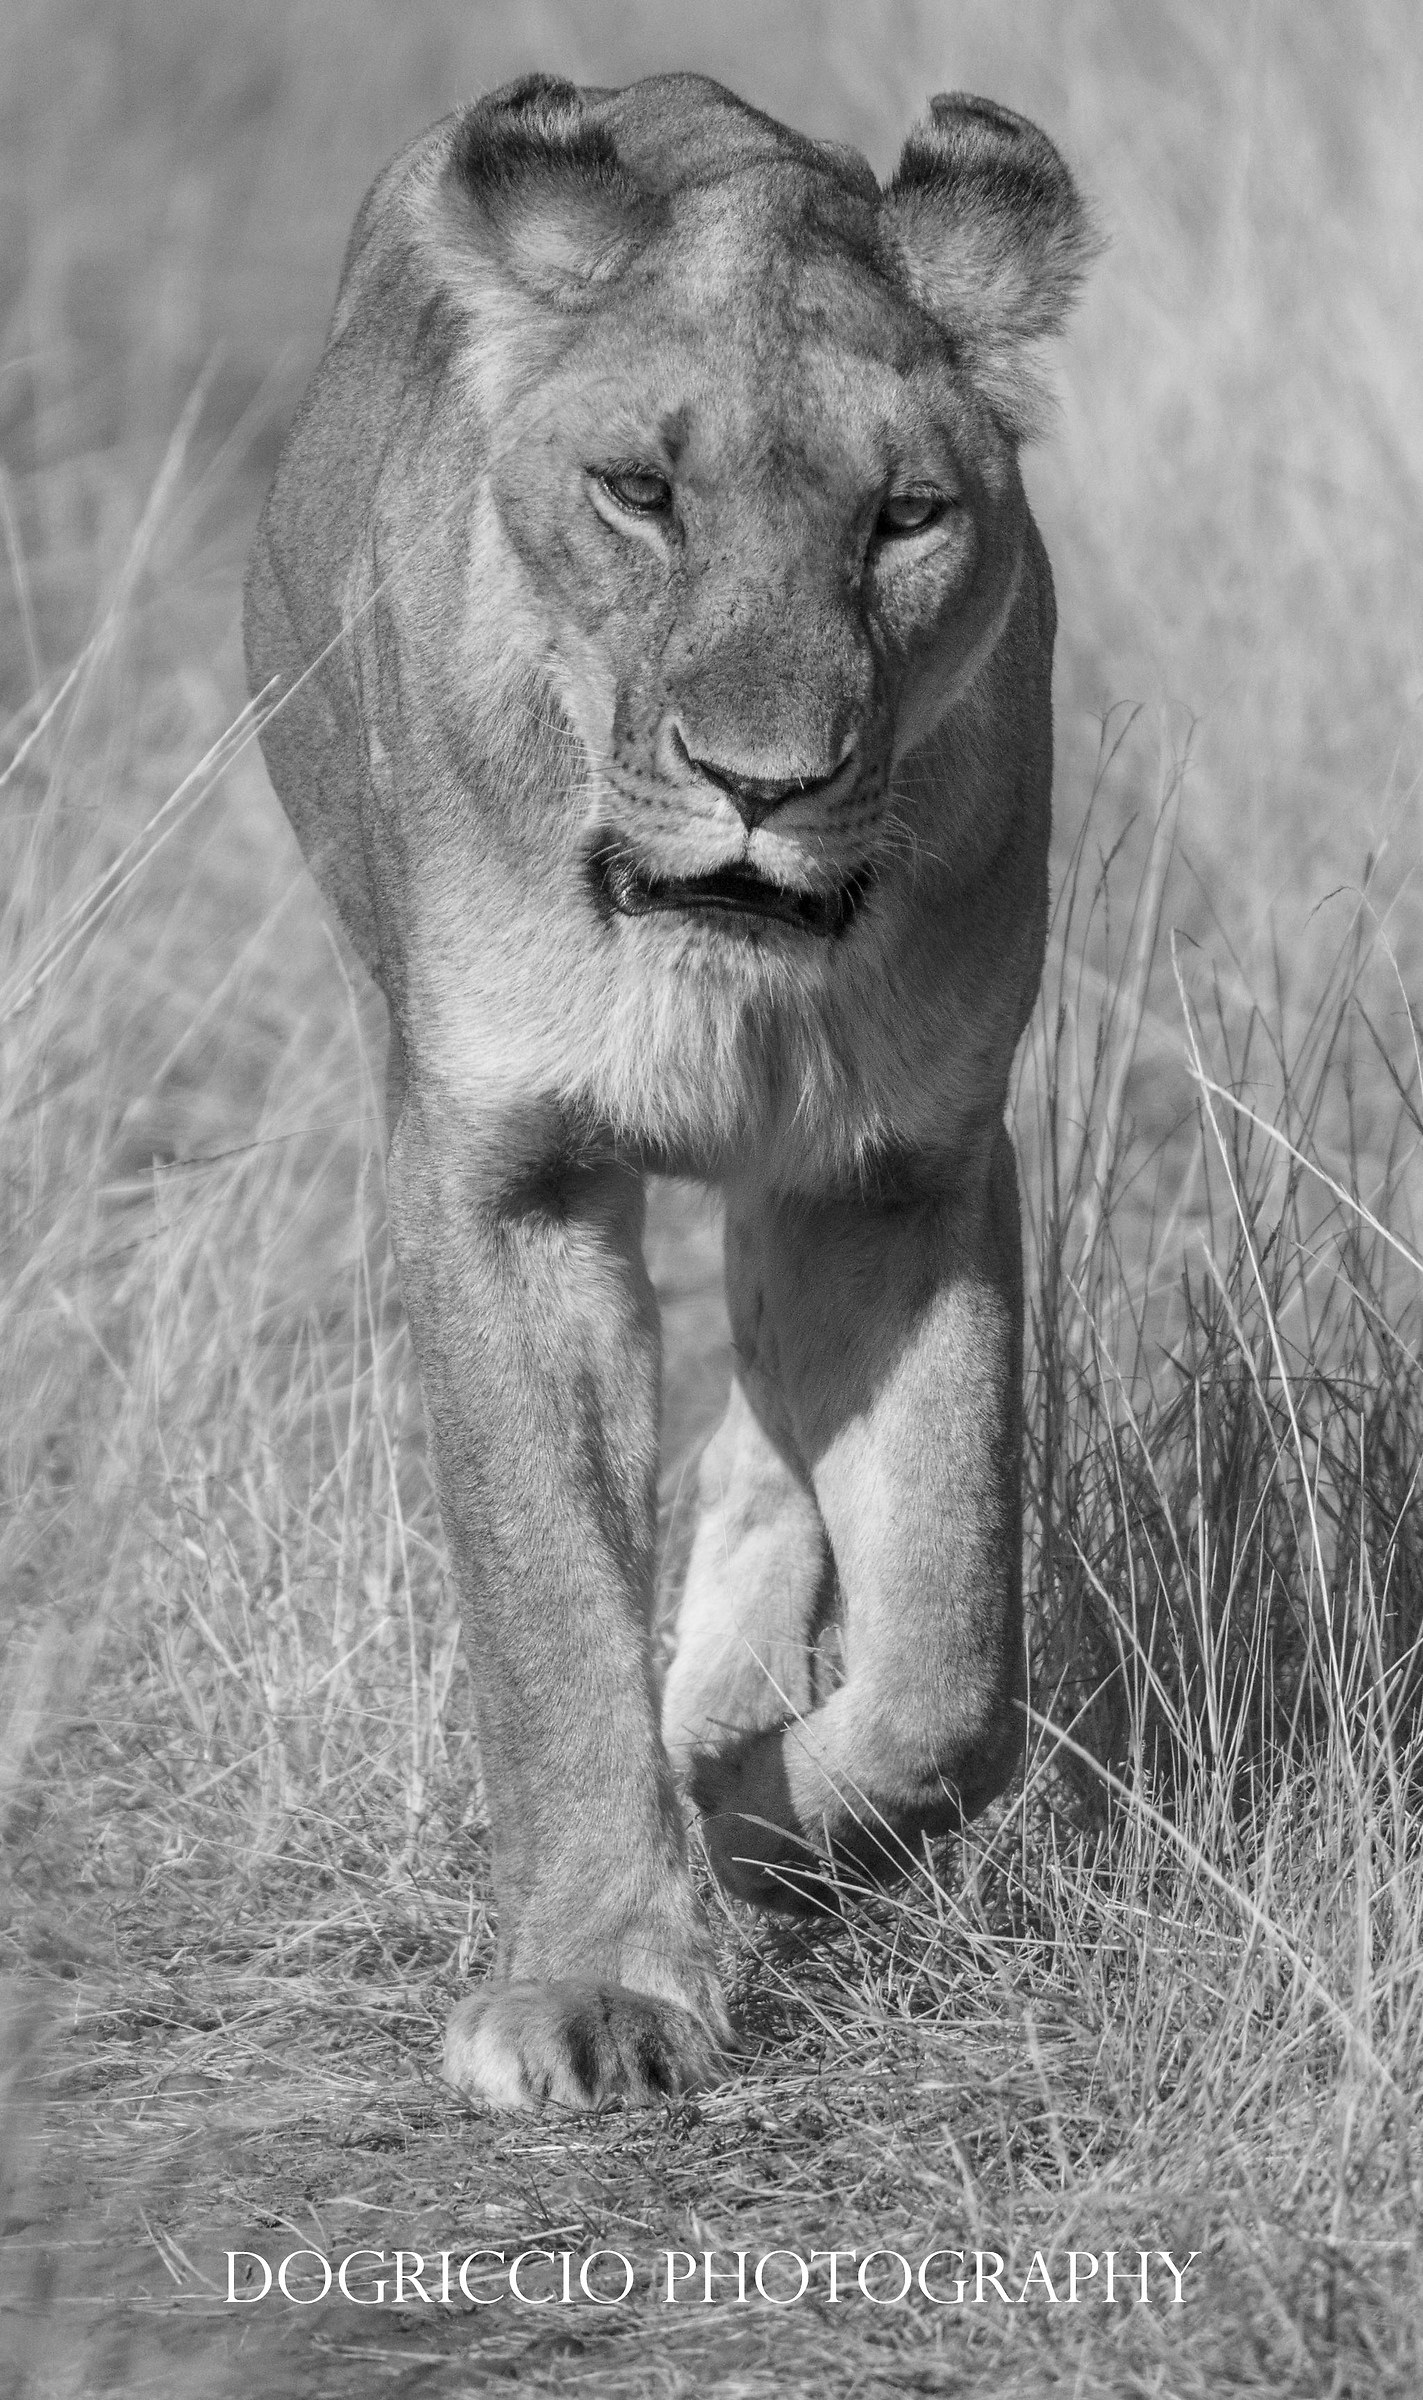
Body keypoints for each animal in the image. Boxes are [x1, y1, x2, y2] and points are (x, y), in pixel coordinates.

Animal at [243, 71, 1094, 2112]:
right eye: (639, 492)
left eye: (904, 519)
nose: (759, 785)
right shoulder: (501, 1173)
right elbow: (548, 1597)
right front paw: (598, 1981)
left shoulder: (907, 1168)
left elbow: (951, 1666)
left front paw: (737, 1818)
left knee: (762, 1451)